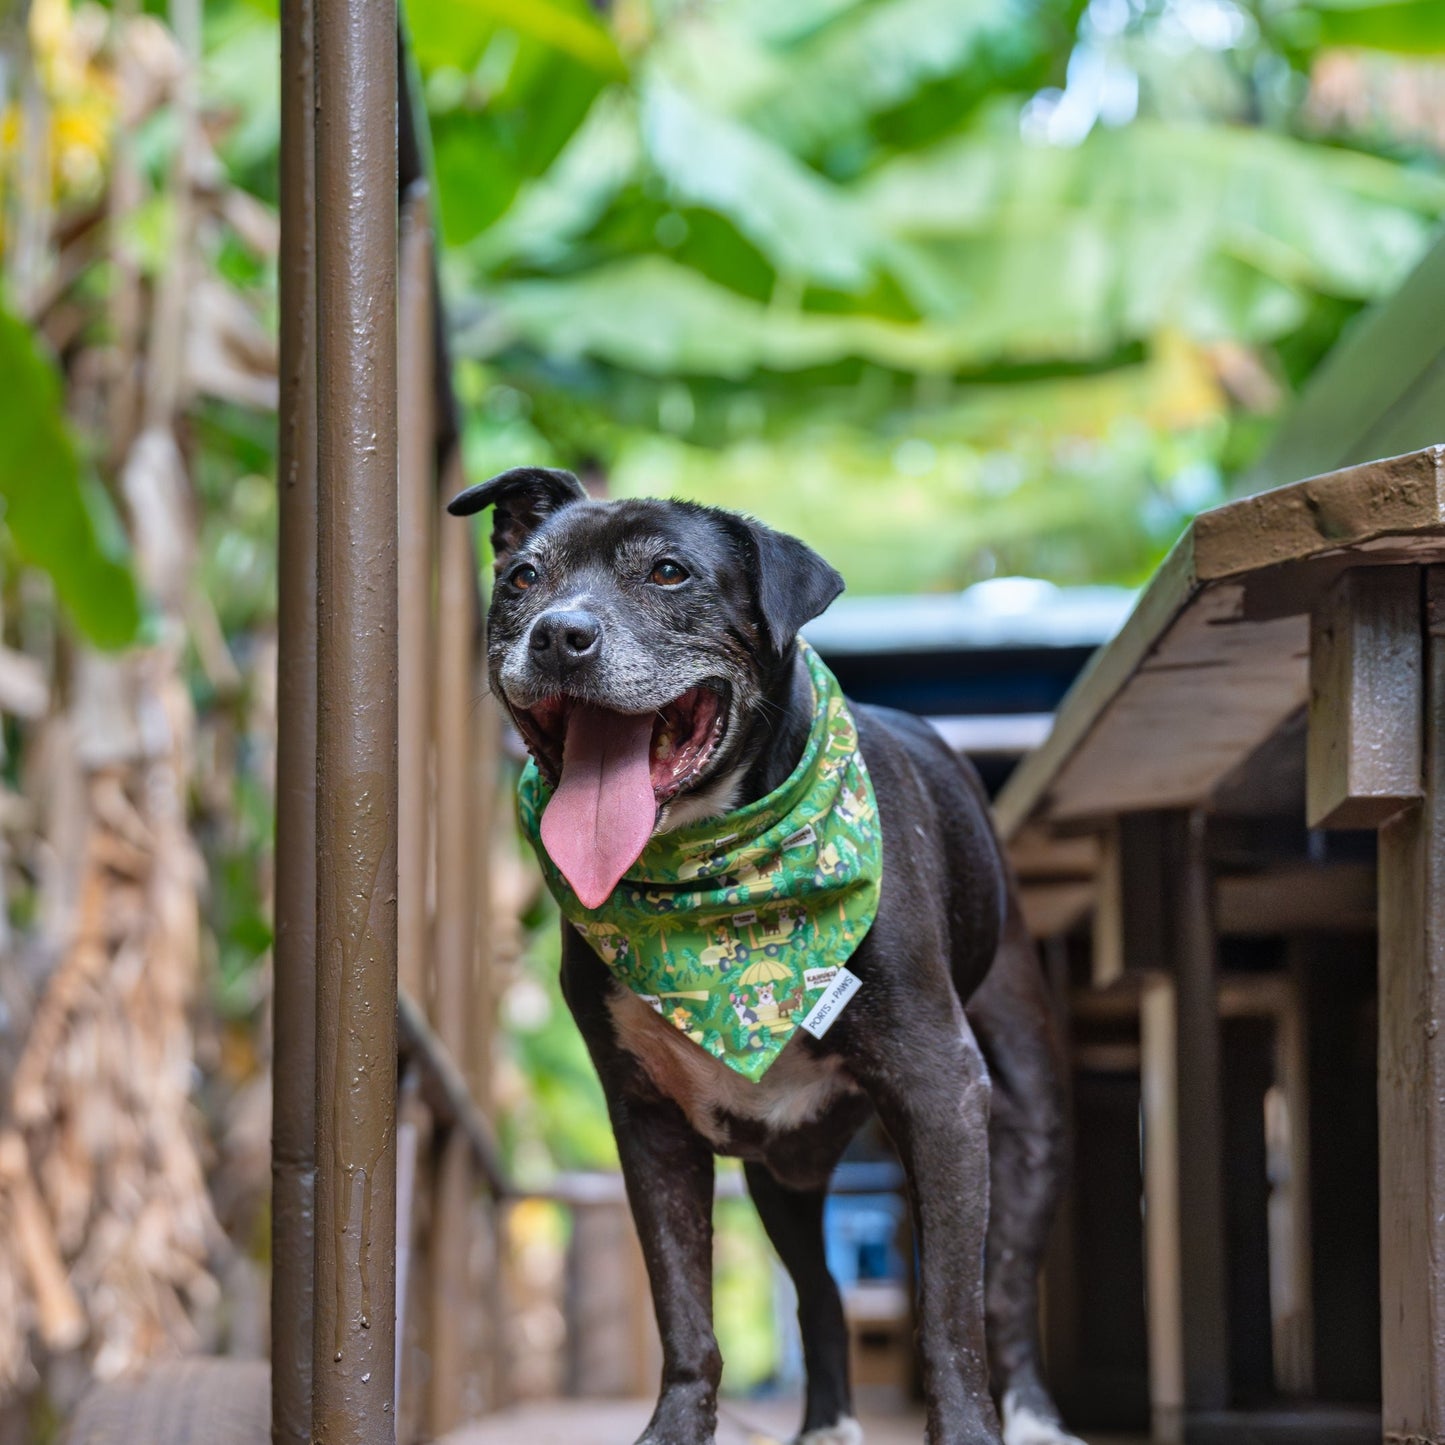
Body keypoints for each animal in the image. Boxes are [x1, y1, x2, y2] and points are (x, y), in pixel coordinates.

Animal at [447, 471, 1075, 1445]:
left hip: (1028, 1110)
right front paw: (673, 1430)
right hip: (783, 1171)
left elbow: (949, 1312)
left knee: (1002, 1292)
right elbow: (684, 1310)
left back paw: (1036, 1419)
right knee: (819, 1295)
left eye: (668, 572)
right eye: (521, 578)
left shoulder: (939, 1092)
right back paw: (825, 1425)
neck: (716, 896)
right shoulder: (646, 1121)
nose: (558, 632)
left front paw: (969, 1430)